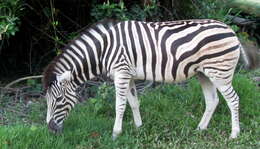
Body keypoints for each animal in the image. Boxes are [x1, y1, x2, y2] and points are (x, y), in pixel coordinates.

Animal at [42, 19, 254, 139]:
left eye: (58, 100)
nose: (50, 130)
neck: (104, 50)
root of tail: (230, 30)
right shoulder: (128, 75)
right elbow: (134, 102)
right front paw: (138, 127)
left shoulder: (121, 73)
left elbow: (120, 105)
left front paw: (115, 134)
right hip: (204, 73)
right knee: (213, 100)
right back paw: (200, 129)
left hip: (220, 72)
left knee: (233, 100)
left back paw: (234, 134)